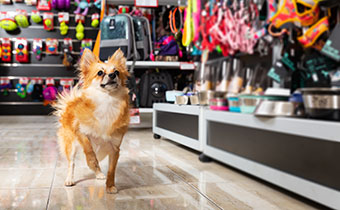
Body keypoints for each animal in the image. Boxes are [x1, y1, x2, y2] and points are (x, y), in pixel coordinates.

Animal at [53, 48, 130, 194]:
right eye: (100, 72)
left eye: (117, 71)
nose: (112, 75)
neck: (107, 102)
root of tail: (71, 102)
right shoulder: (81, 133)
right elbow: (90, 153)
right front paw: (91, 162)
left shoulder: (114, 148)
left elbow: (111, 170)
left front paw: (110, 186)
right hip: (70, 144)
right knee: (72, 163)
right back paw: (70, 179)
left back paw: (99, 174)